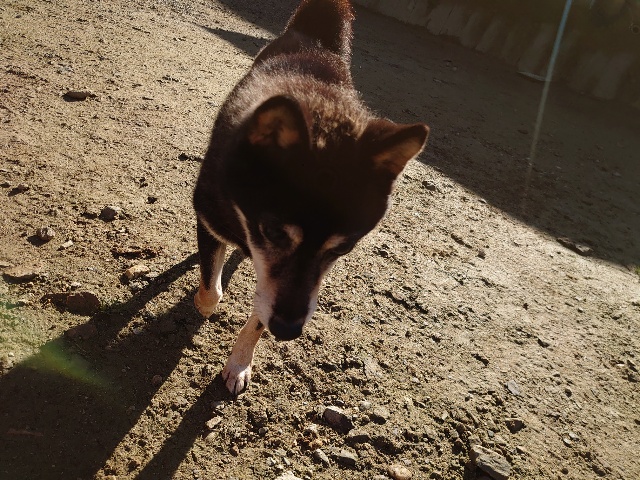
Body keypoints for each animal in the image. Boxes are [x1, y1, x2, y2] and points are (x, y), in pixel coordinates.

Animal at [193, 0, 429, 394]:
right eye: (274, 232)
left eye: (343, 248)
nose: (288, 331)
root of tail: (317, 40)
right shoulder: (209, 220)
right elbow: (211, 290)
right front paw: (205, 303)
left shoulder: (286, 294)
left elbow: (258, 320)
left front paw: (239, 363)